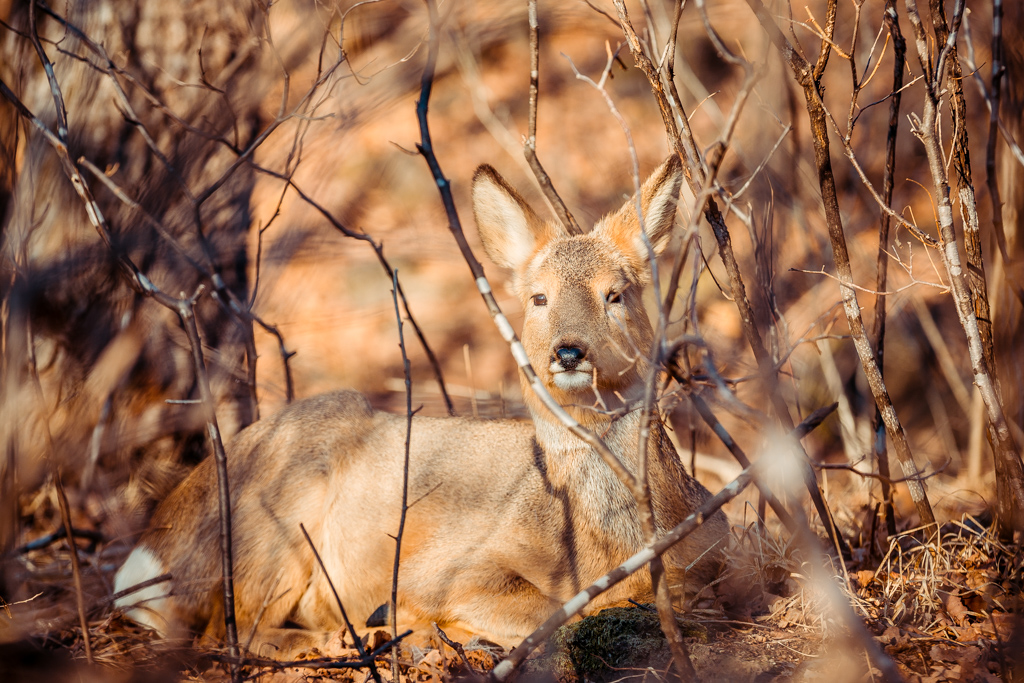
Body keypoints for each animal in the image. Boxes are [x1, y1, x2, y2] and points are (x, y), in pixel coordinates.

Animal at [114, 154, 729, 655]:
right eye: (538, 297)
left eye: (615, 294)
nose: (569, 351)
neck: (607, 546)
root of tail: (155, 540)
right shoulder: (440, 567)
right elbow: (547, 609)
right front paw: (417, 624)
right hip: (274, 519)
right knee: (227, 632)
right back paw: (346, 638)